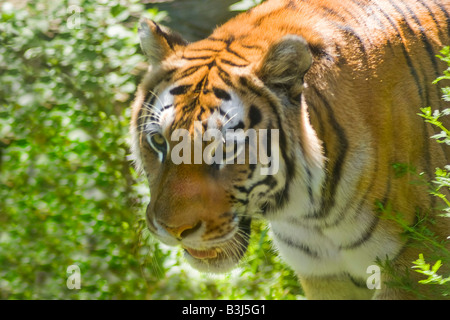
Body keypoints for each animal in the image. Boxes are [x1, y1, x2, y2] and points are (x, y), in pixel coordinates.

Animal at [129, 0, 450, 300]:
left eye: (224, 149)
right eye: (159, 142)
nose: (174, 231)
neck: (311, 214)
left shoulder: (414, 264)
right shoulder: (324, 273)